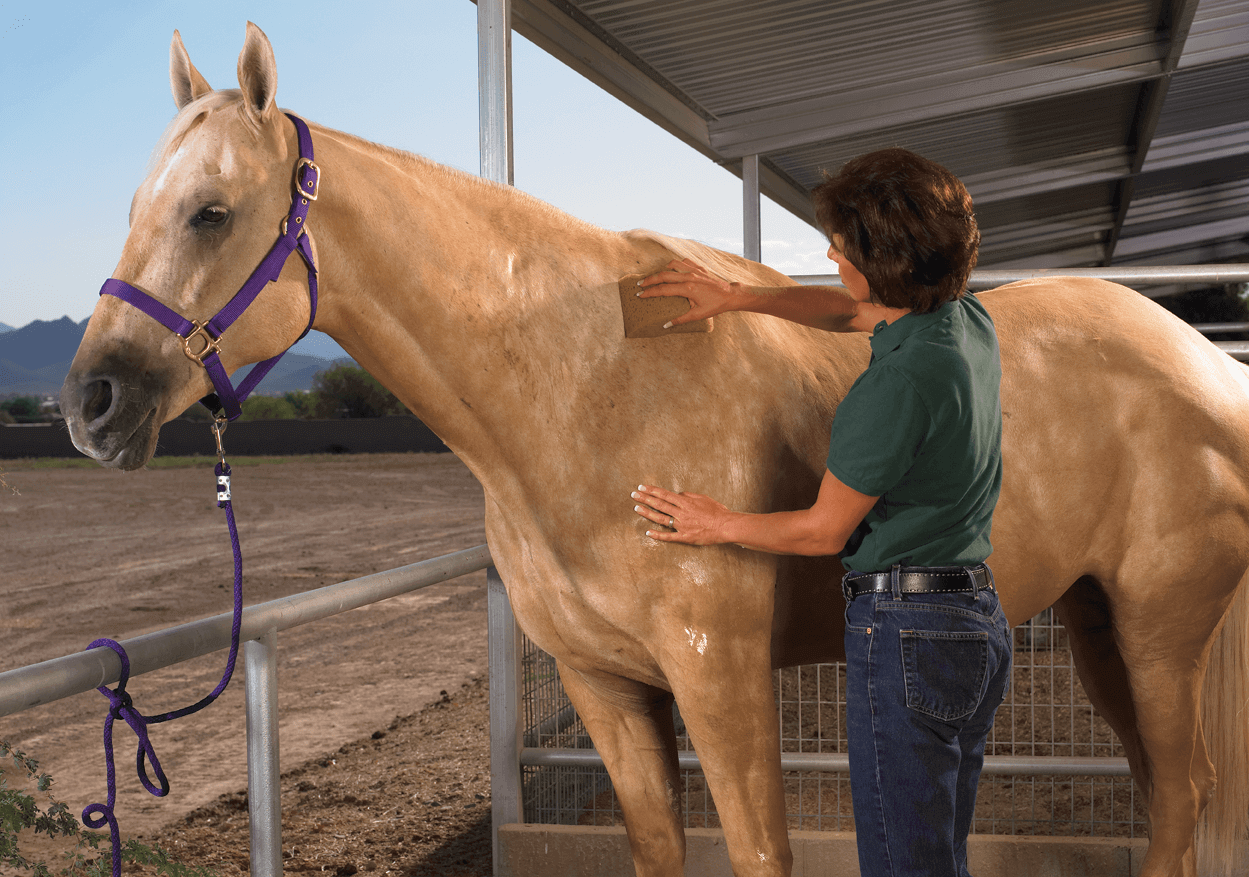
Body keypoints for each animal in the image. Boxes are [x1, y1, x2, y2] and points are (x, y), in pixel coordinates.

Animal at [59, 23, 1249, 877]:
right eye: (137, 204)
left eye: (212, 212)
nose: (90, 402)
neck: (586, 387)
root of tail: (1206, 365)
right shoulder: (606, 687)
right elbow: (657, 848)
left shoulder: (719, 678)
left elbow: (761, 852)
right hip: (1099, 624)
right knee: (1166, 791)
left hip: (1159, 627)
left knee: (1181, 796)